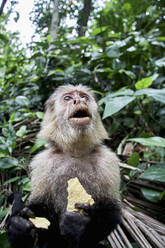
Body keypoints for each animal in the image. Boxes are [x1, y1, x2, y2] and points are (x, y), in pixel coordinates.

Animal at [6, 84, 121, 248]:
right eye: (67, 98)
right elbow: (39, 207)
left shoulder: (108, 160)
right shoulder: (43, 162)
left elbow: (110, 209)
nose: (78, 100)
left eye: (83, 96)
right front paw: (19, 228)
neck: (76, 153)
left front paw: (79, 227)